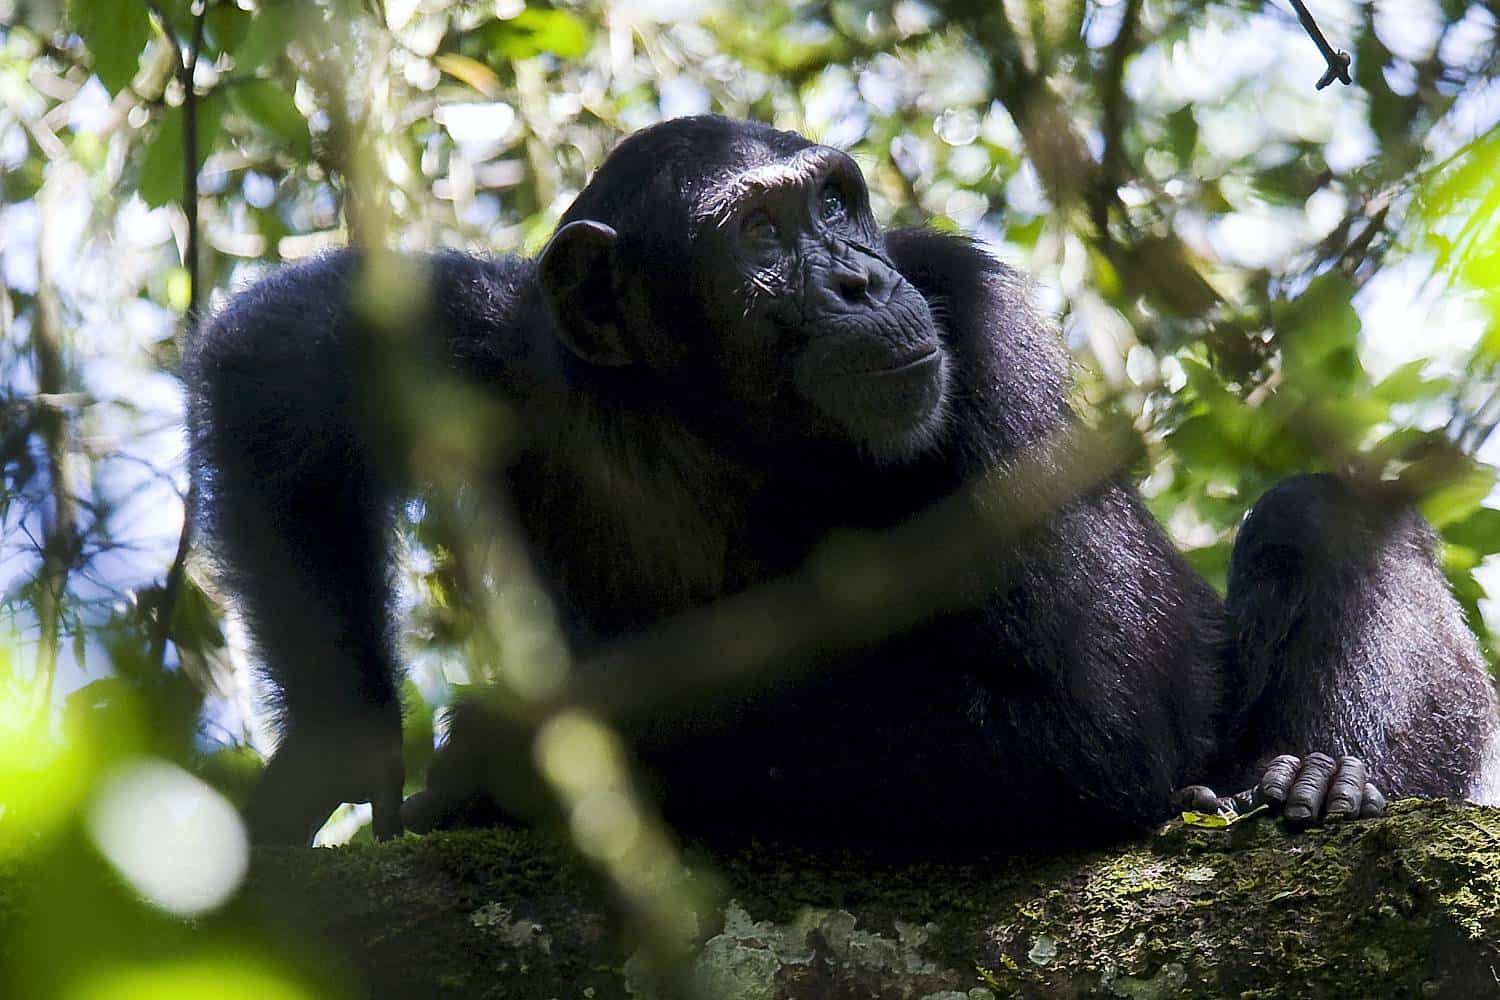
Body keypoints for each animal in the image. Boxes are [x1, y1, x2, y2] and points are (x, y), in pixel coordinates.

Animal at [187, 117, 1500, 851]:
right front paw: (335, 760)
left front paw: (511, 754)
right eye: (762, 236)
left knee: (1321, 518)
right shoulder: (497, 345)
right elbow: (283, 368)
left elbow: (1091, 716)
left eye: (834, 201)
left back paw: (1316, 776)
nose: (865, 278)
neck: (717, 428)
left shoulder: (988, 339)